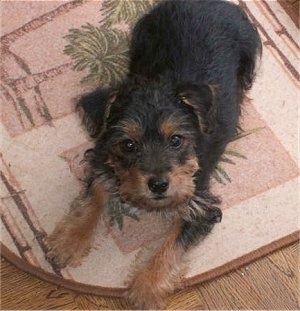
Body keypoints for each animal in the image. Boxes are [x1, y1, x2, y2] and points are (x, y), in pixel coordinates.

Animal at [46, 0, 260, 310]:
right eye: (128, 145)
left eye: (176, 140)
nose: (158, 185)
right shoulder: (103, 156)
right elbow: (95, 194)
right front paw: (70, 241)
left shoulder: (201, 204)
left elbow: (171, 247)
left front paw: (145, 288)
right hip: (142, 34)